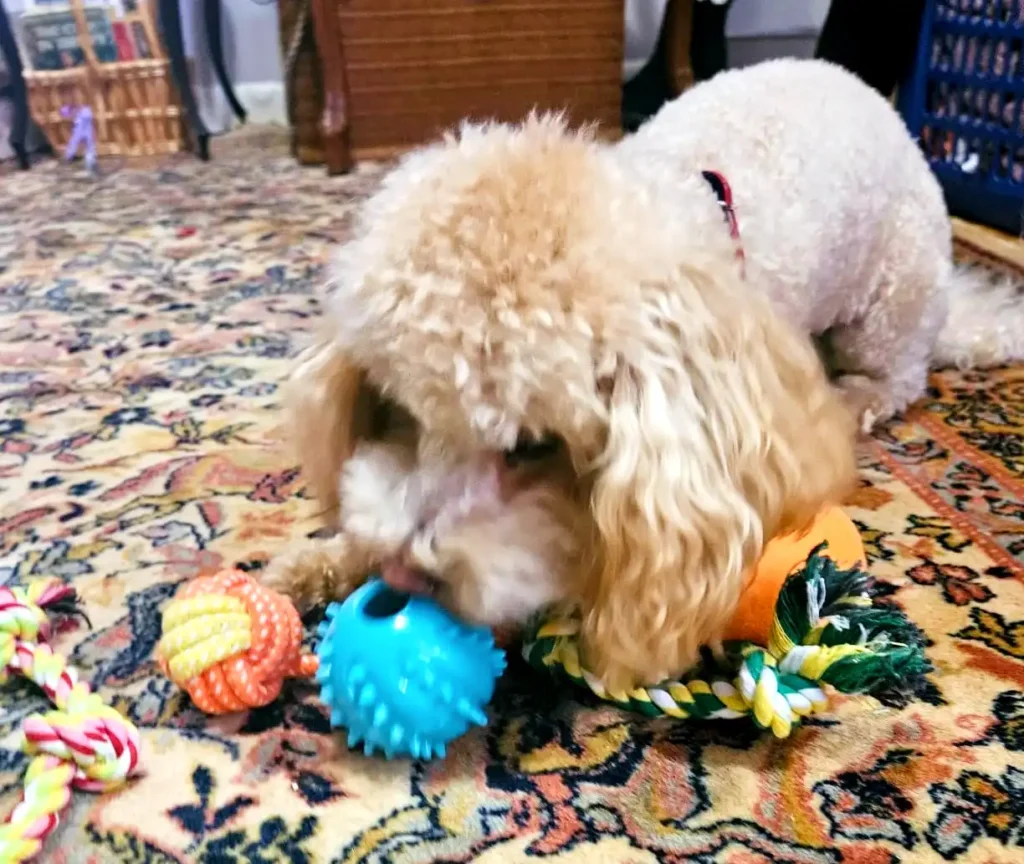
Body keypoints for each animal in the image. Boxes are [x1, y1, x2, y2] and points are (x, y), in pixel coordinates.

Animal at [260, 59, 1024, 687]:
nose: (401, 574)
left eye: (535, 447)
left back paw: (858, 394)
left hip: (892, 301)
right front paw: (319, 563)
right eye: (398, 410)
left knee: (900, 376)